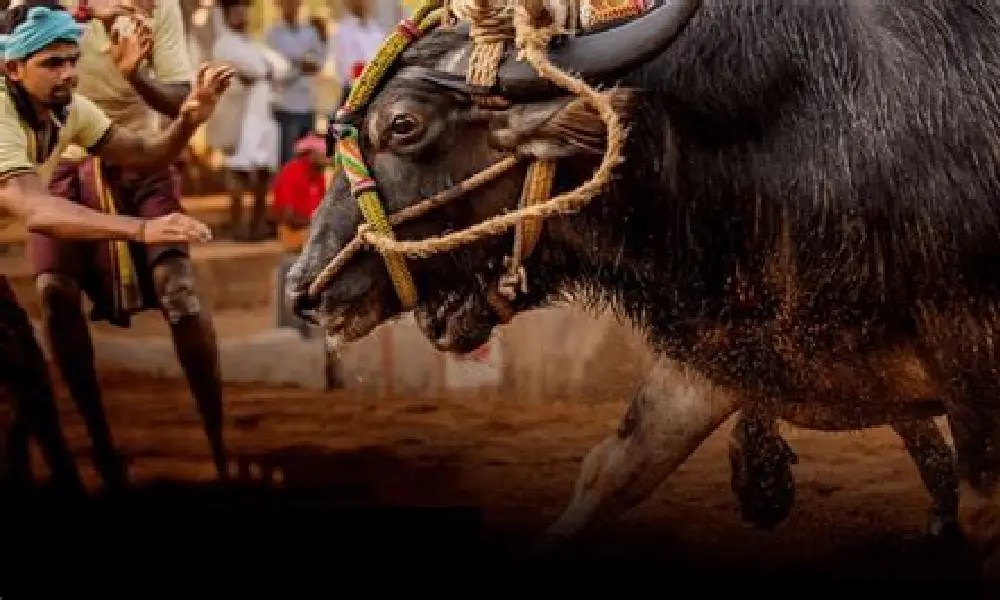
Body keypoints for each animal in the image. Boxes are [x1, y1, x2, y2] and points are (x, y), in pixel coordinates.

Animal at [288, 0, 1000, 576]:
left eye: (403, 125)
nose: (303, 289)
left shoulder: (973, 356)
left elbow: (982, 508)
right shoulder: (725, 346)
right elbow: (615, 469)